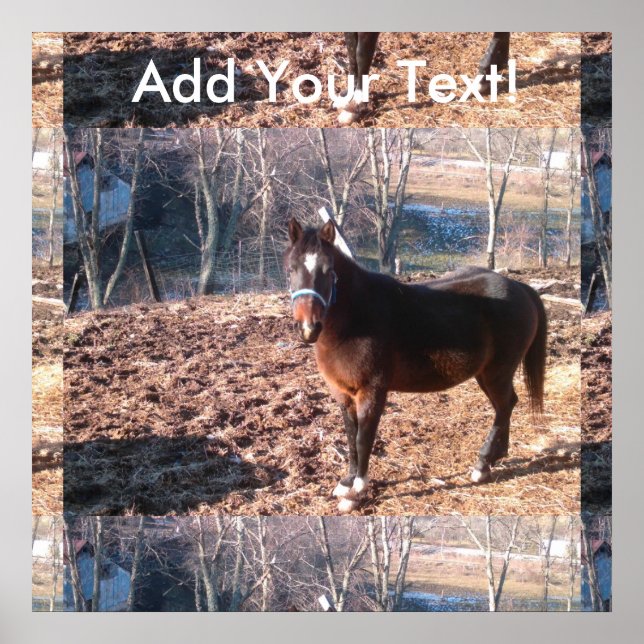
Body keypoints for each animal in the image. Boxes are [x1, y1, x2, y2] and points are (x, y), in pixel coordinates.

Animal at [285, 218, 547, 512]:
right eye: (291, 269)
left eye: (329, 271)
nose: (309, 328)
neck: (355, 321)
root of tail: (520, 287)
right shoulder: (343, 394)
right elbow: (351, 436)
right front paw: (347, 482)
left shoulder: (372, 392)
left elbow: (364, 439)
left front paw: (357, 491)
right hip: (486, 375)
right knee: (506, 406)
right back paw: (495, 458)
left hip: (497, 373)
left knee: (504, 407)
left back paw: (482, 465)